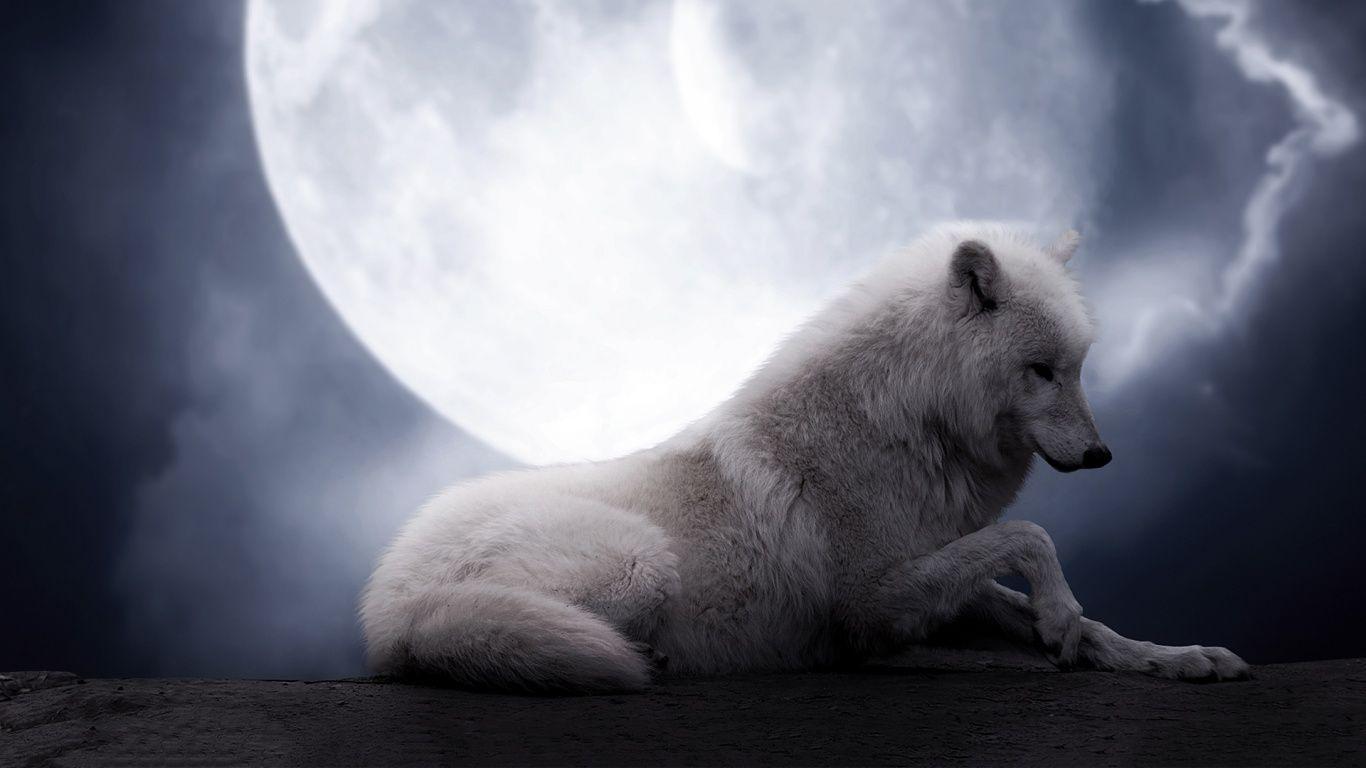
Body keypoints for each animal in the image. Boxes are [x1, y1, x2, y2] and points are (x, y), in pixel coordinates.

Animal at [360, 222, 1250, 692]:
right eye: (1041, 370)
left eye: (1079, 366)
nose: (1102, 455)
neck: (909, 422)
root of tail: (388, 602)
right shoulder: (872, 600)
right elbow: (1031, 537)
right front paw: (1062, 616)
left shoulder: (933, 571)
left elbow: (1064, 609)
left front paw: (1170, 656)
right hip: (640, 563)